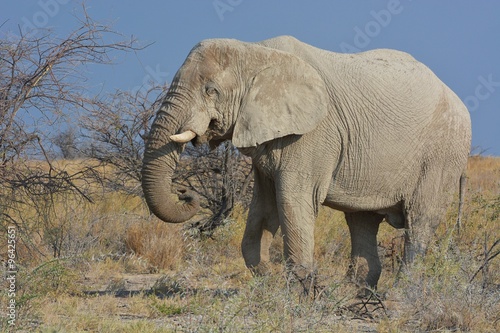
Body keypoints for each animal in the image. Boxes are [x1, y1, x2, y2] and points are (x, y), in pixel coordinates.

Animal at [142, 35, 472, 288]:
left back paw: (401, 297)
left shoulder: (312, 134)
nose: (185, 193)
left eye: (211, 90)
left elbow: (292, 199)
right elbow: (264, 208)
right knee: (362, 222)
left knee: (420, 221)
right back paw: (357, 297)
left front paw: (300, 291)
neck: (256, 53)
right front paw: (267, 280)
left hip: (443, 153)